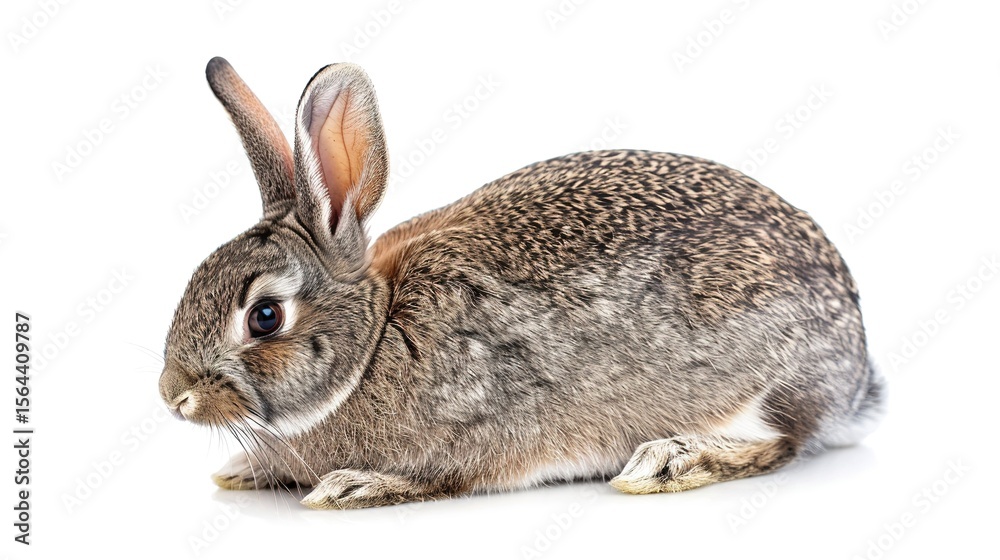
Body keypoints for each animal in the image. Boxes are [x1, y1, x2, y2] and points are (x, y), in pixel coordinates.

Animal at [158, 57, 885, 510]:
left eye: (265, 317)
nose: (173, 396)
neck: (373, 339)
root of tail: (855, 373)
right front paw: (244, 471)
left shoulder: (470, 431)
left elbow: (441, 477)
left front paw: (353, 487)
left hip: (760, 379)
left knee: (781, 441)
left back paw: (667, 462)